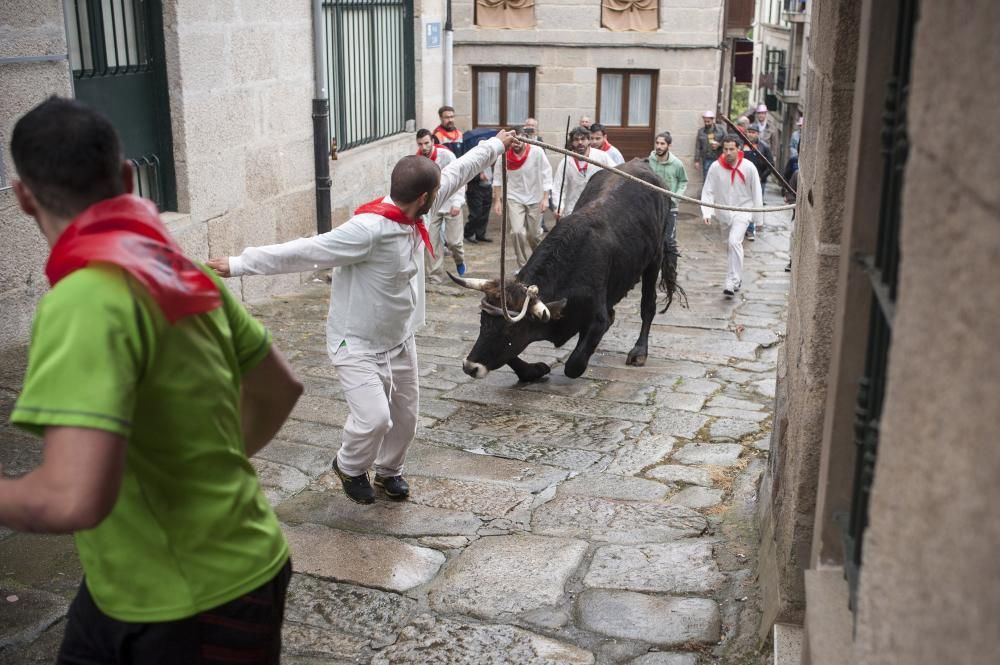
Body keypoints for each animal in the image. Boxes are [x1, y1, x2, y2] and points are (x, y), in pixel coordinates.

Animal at [450, 158, 684, 382]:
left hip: (654, 259)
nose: (470, 366)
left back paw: (639, 352)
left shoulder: (597, 318)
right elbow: (509, 355)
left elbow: (574, 365)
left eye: (509, 329)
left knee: (648, 306)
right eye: (483, 320)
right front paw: (534, 371)